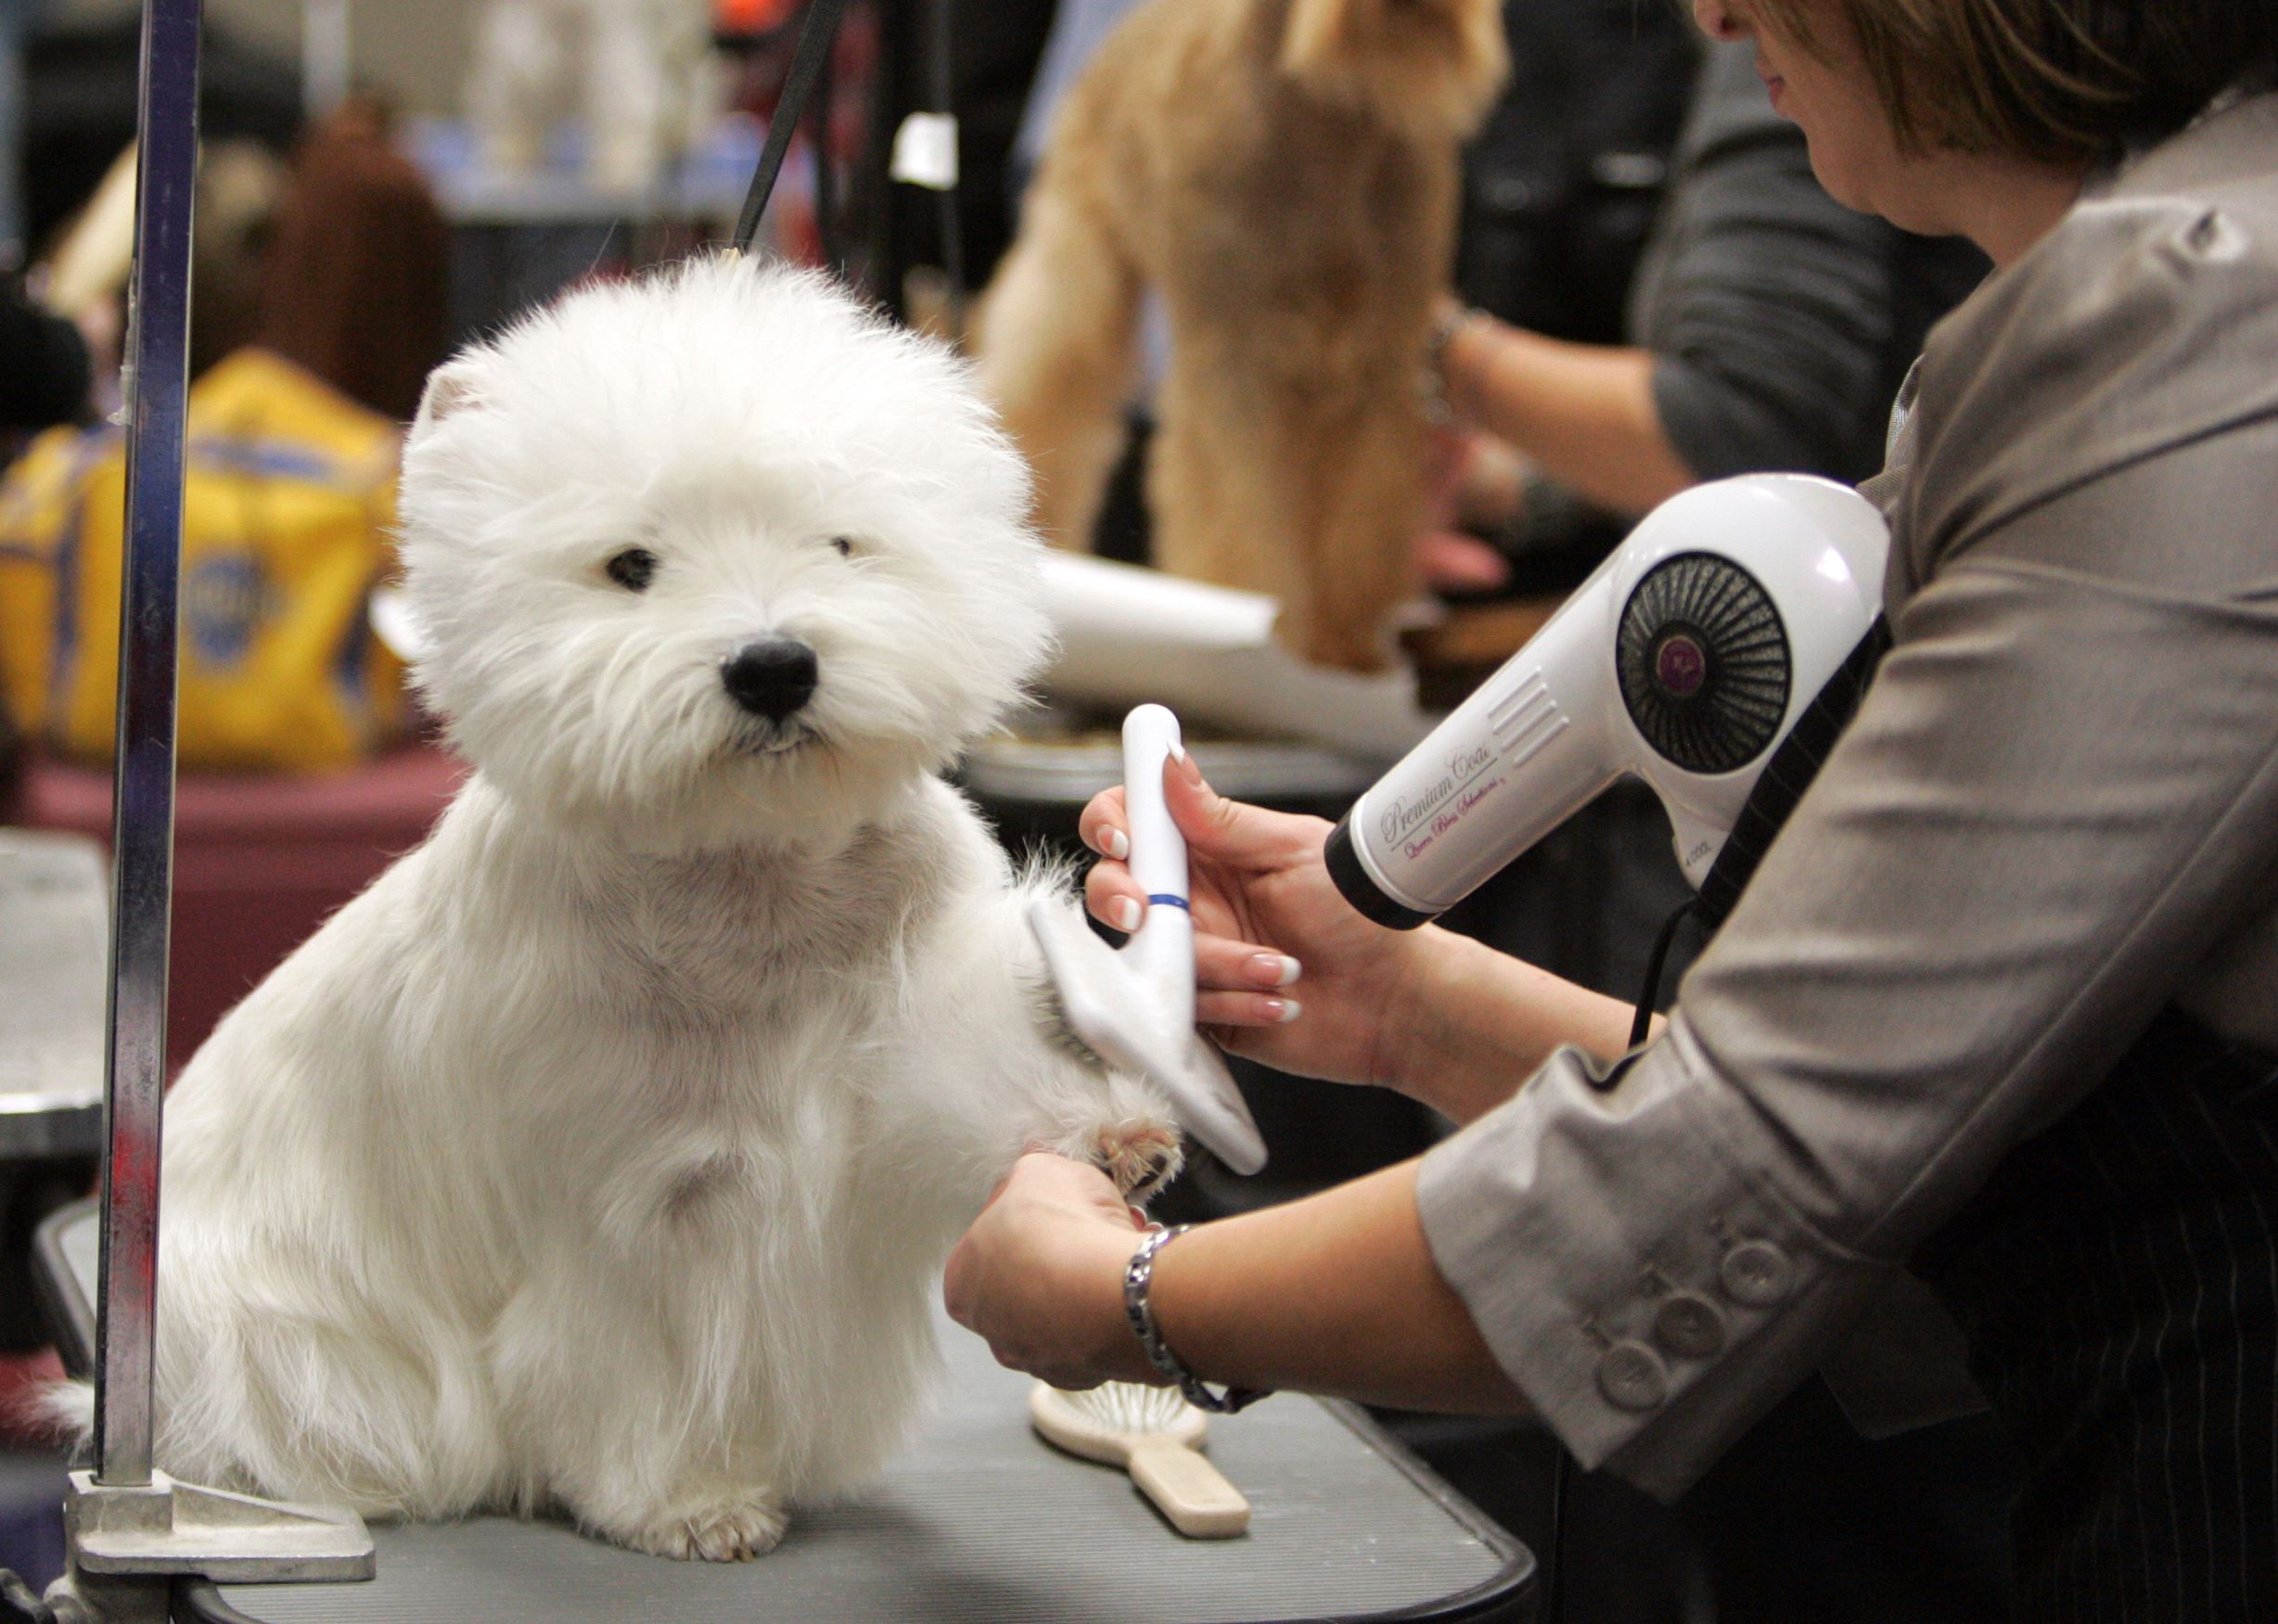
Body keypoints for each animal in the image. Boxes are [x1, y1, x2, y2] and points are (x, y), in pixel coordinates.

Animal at [118, 256, 1184, 1557]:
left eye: (841, 542)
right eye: (631, 565)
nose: (773, 666)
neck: (753, 878)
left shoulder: (888, 1052)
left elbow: (956, 1082)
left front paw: (1115, 1132)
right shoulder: (636, 1204)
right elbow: (642, 1364)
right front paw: (695, 1503)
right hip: (267, 1336)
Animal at [975, 0, 1494, 670]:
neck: (1325, 119)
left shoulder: (1383, 348)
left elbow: (1365, 517)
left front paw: (1348, 641)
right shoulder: (1233, 350)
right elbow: (1237, 520)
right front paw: (1261, 630)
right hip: (1075, 264)